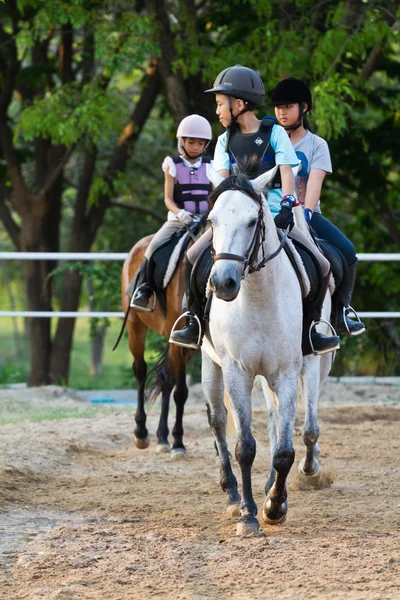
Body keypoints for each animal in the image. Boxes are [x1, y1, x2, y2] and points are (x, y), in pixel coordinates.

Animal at [121, 234, 195, 460]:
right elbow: (181, 392)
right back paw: (141, 432)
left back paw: (162, 438)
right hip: (135, 326)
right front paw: (178, 443)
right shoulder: (177, 340)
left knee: (166, 379)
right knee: (140, 371)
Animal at [202, 163, 332, 536]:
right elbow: (245, 446)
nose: (223, 284)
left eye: (251, 221)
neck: (257, 297)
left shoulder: (286, 373)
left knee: (277, 423)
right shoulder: (237, 372)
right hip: (210, 365)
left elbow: (284, 449)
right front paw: (248, 515)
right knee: (218, 421)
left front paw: (275, 506)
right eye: (212, 220)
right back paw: (232, 495)